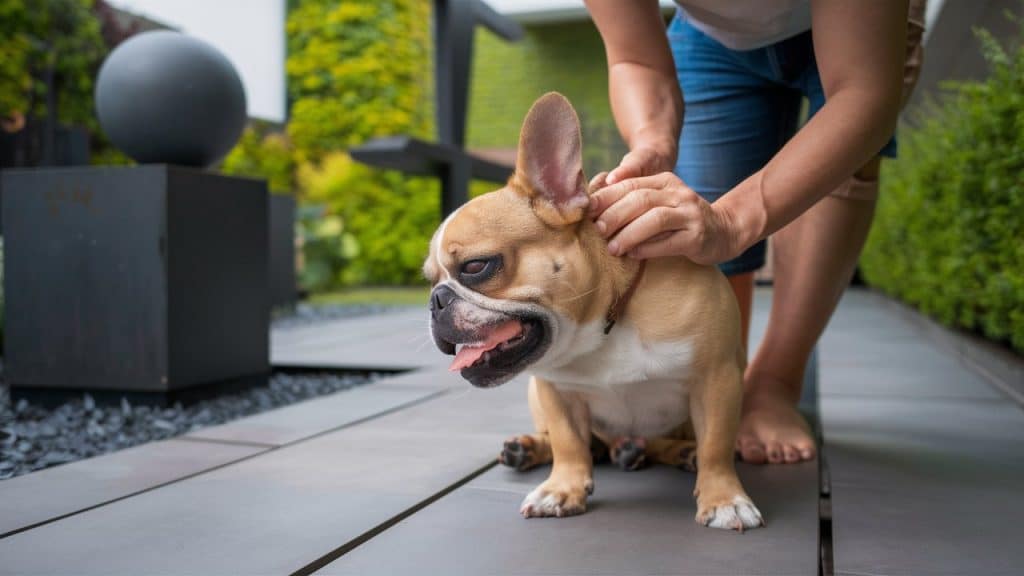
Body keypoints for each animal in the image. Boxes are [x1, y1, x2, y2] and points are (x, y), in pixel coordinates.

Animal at [421, 91, 761, 528]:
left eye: (476, 266)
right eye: (430, 278)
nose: (437, 300)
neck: (601, 326)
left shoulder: (716, 378)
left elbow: (716, 445)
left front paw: (724, 499)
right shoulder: (554, 390)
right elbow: (568, 442)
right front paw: (561, 489)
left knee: (664, 443)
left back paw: (664, 452)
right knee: (577, 443)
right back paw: (529, 447)